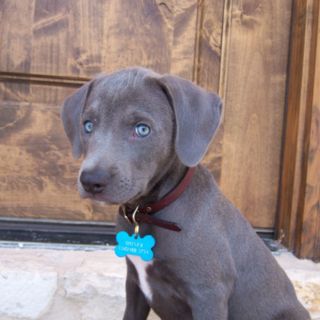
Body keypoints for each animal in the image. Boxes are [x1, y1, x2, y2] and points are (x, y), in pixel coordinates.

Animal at [61, 66, 308, 318]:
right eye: (88, 125)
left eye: (142, 129)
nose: (91, 181)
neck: (148, 213)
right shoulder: (135, 284)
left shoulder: (208, 295)